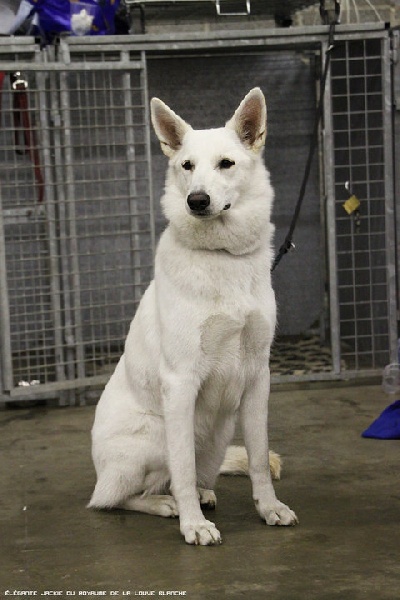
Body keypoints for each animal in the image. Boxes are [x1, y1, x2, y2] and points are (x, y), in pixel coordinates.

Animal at [89, 88, 298, 544]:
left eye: (226, 163)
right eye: (186, 166)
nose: (196, 200)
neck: (221, 256)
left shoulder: (258, 377)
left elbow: (258, 458)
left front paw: (269, 507)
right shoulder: (181, 382)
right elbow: (181, 467)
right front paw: (193, 525)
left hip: (218, 435)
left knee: (196, 475)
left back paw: (202, 494)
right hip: (152, 436)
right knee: (115, 498)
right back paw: (166, 504)